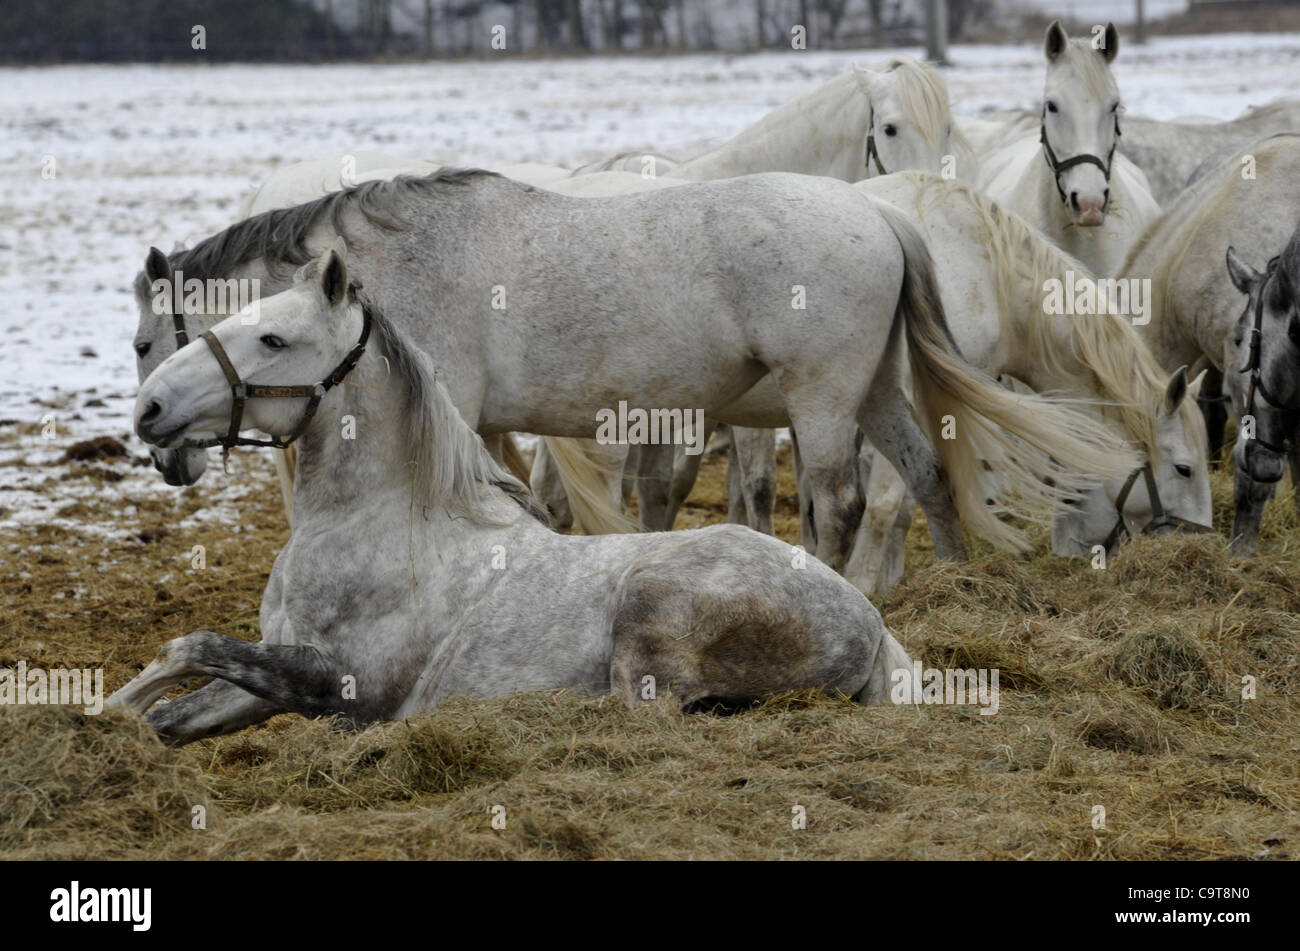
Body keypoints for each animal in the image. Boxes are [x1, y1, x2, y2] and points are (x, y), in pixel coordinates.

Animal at [114, 249, 925, 748]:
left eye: (275, 341)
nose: (150, 411)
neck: (377, 524)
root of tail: (871, 620)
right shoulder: (266, 677)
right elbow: (177, 701)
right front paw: (109, 714)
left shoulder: (342, 688)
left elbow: (191, 644)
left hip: (650, 615)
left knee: (637, 714)